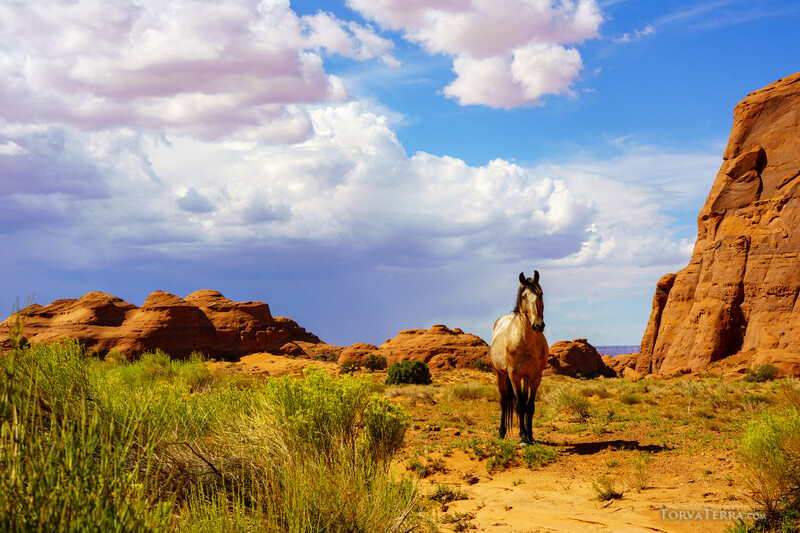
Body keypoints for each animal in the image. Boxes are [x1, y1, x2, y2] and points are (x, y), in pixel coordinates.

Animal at [490, 271, 548, 445]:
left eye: (541, 294)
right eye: (524, 296)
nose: (538, 325)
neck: (525, 342)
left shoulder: (535, 376)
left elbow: (530, 405)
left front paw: (530, 436)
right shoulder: (514, 375)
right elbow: (520, 405)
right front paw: (523, 437)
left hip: (526, 378)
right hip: (500, 375)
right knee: (504, 401)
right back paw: (502, 432)